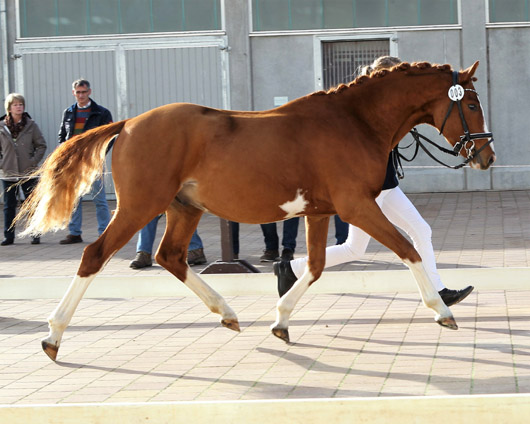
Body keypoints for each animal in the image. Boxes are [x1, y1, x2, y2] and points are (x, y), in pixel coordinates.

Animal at [17, 62, 496, 362]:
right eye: (471, 104)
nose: (486, 156)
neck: (354, 122)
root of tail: (130, 123)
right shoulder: (356, 206)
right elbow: (407, 249)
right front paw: (443, 311)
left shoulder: (320, 212)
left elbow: (316, 266)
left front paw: (280, 322)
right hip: (140, 206)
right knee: (95, 255)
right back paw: (52, 336)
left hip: (183, 209)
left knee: (171, 256)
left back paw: (227, 313)